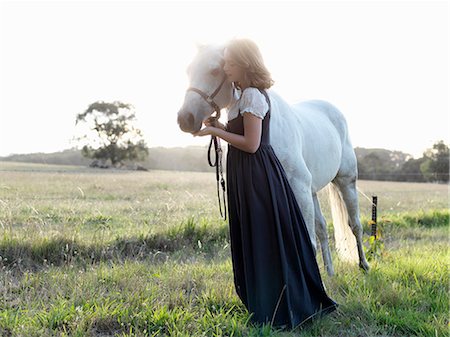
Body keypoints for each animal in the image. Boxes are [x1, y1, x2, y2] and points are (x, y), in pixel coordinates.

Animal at [176, 43, 370, 276]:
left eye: (214, 70)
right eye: (188, 70)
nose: (185, 119)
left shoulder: (300, 189)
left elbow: (309, 244)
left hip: (346, 181)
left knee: (355, 225)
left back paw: (363, 265)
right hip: (313, 191)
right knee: (323, 228)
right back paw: (330, 274)